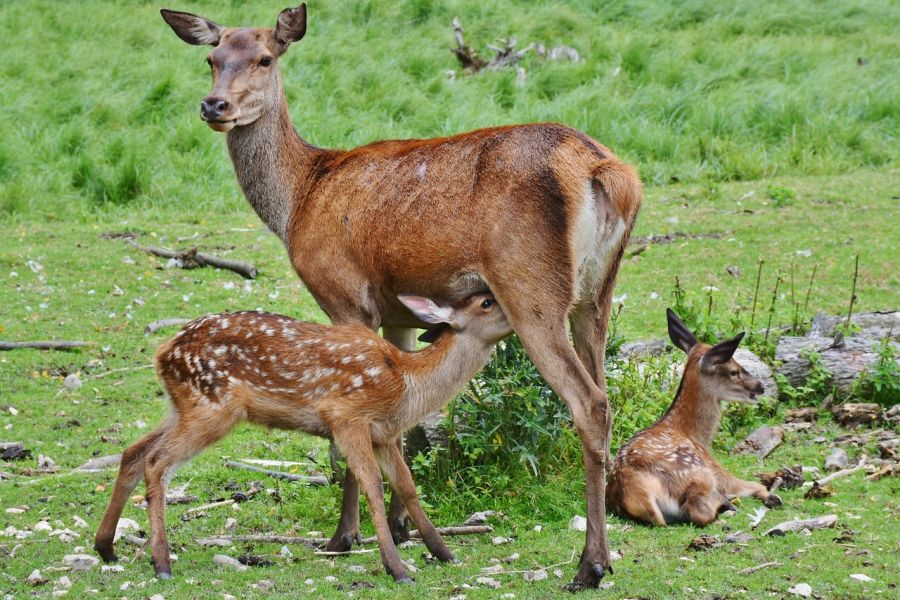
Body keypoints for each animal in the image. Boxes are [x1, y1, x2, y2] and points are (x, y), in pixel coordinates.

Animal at [160, 3, 640, 584]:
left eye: (265, 57)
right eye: (211, 58)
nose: (215, 105)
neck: (299, 199)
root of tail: (603, 171)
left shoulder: (345, 294)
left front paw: (343, 536)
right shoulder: (398, 314)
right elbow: (404, 424)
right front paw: (403, 527)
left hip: (532, 290)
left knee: (588, 401)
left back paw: (589, 564)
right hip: (596, 294)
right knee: (604, 392)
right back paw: (606, 550)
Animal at [608, 312, 784, 528]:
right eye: (734, 371)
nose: (760, 386)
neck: (695, 435)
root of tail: (638, 495)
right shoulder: (717, 470)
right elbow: (756, 485)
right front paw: (772, 496)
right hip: (700, 474)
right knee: (699, 511)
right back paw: (727, 502)